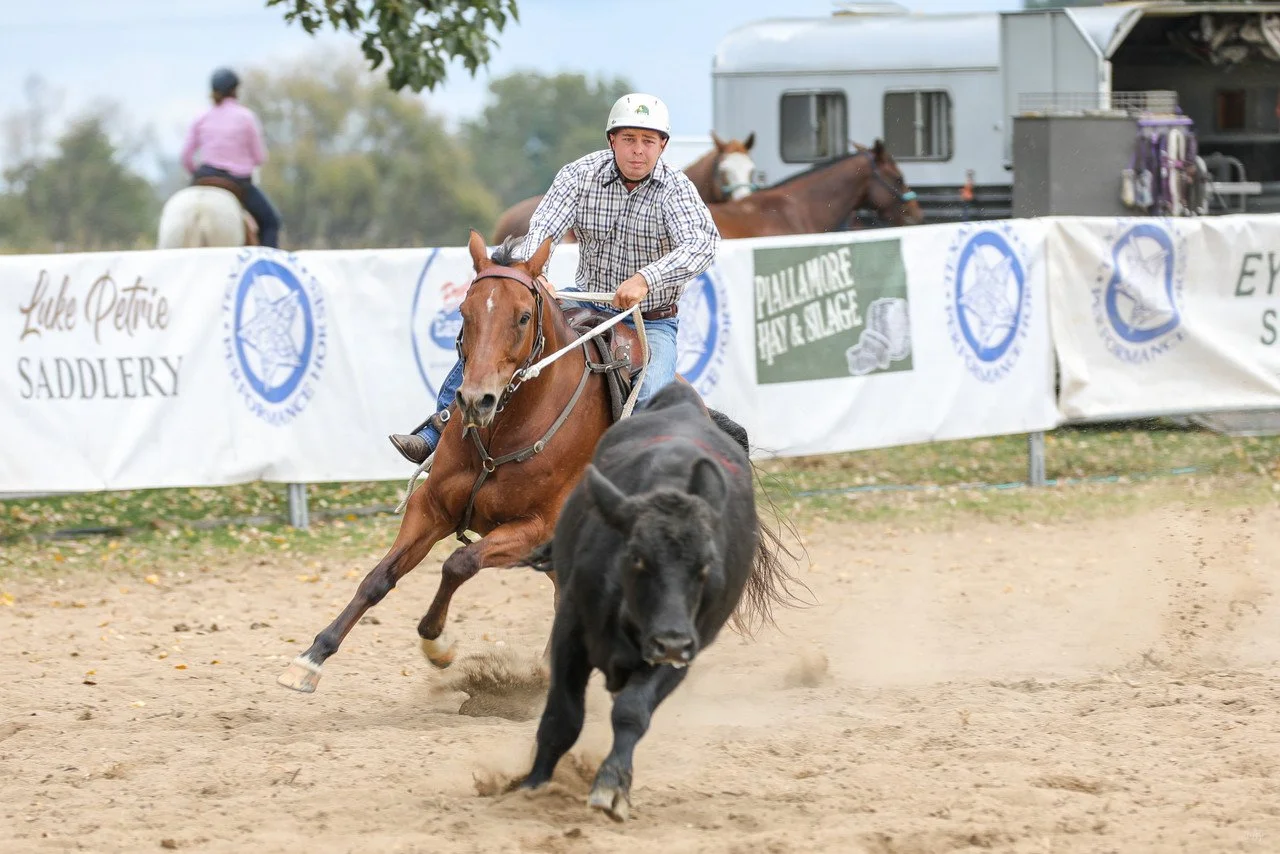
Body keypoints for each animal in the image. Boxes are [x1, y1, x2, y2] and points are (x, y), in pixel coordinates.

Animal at [276, 228, 758, 694]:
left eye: (523, 317)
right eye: (464, 313)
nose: (476, 400)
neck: (503, 430)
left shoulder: (534, 527)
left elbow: (458, 564)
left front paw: (438, 645)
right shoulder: (430, 507)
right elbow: (379, 578)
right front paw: (310, 659)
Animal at [517, 380, 800, 821]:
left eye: (706, 566)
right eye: (637, 557)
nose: (669, 639)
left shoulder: (685, 649)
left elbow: (632, 712)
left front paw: (612, 786)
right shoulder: (570, 628)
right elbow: (562, 716)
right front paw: (533, 784)